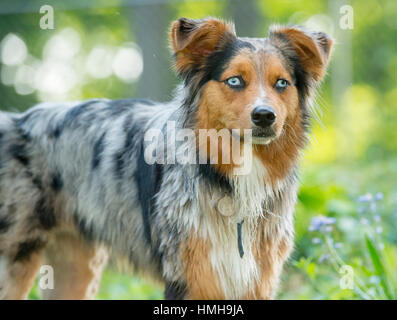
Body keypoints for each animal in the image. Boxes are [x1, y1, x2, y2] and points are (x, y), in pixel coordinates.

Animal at [0, 17, 332, 300]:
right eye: (235, 81)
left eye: (282, 83)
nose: (265, 116)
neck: (233, 177)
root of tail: (13, 121)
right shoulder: (189, 277)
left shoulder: (257, 279)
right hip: (15, 260)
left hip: (77, 269)